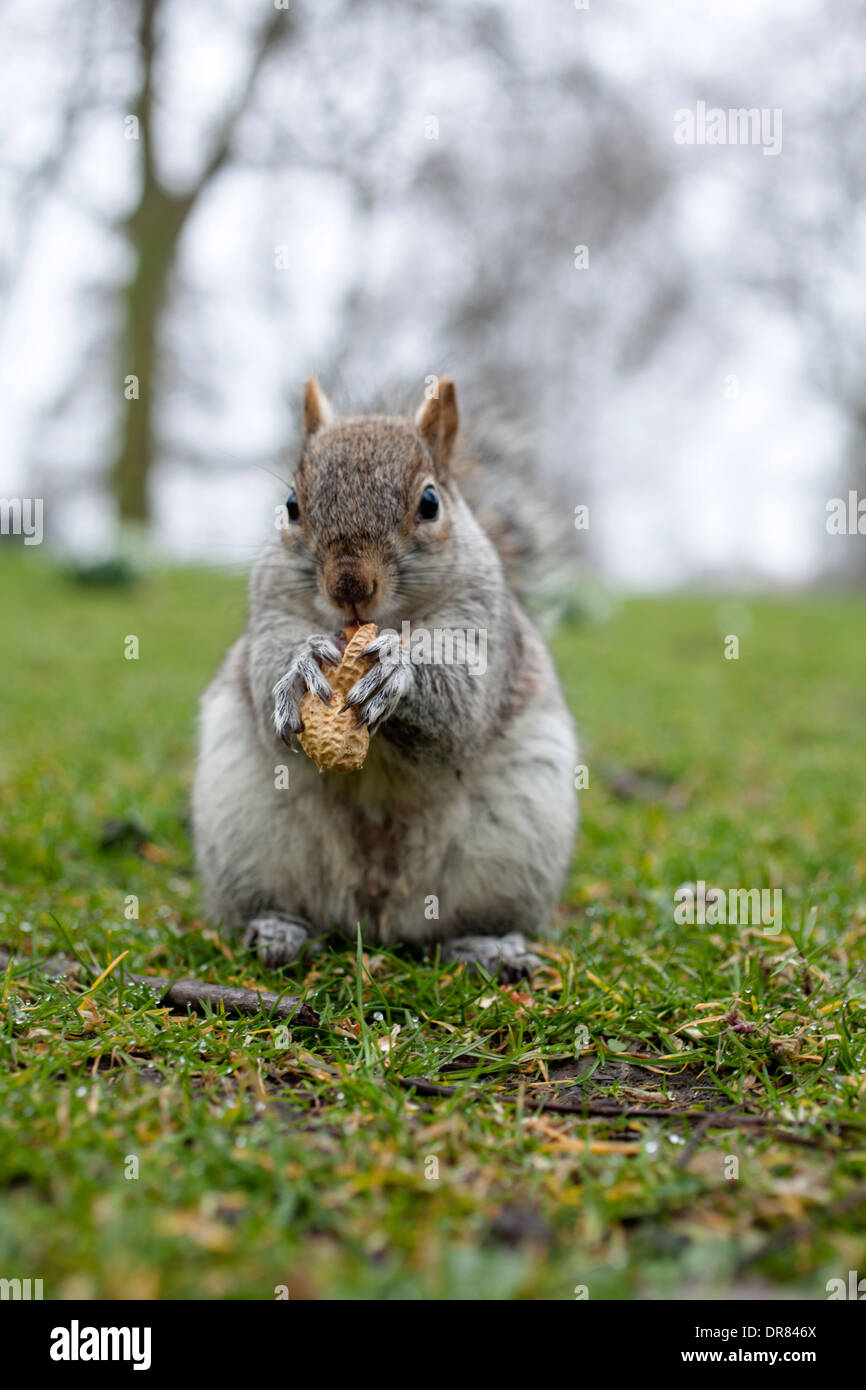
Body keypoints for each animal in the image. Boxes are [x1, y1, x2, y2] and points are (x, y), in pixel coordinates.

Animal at [192, 376, 578, 978]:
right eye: (291, 505)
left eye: (430, 502)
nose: (349, 584)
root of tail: (374, 915)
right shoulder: (270, 611)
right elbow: (264, 675)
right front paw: (301, 665)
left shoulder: (485, 627)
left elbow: (462, 704)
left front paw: (398, 671)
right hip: (248, 834)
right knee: (284, 904)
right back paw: (279, 930)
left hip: (515, 845)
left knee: (465, 922)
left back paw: (485, 946)